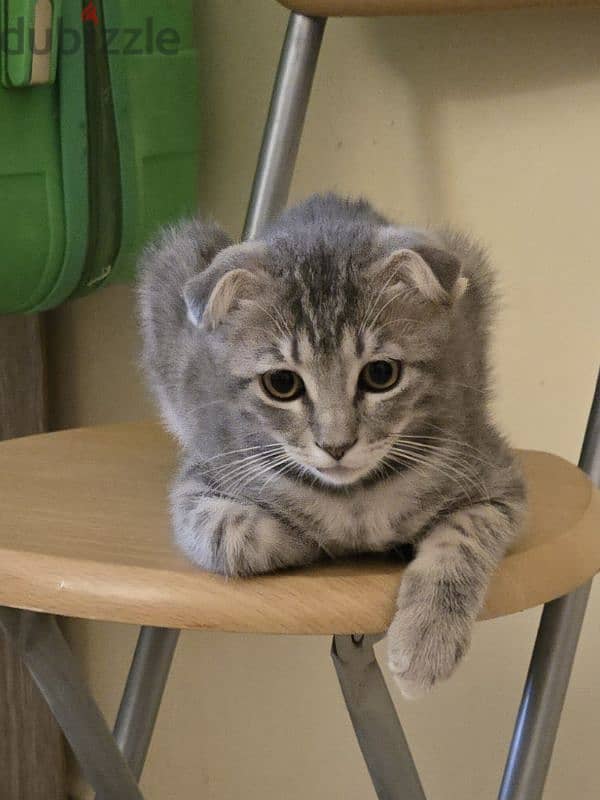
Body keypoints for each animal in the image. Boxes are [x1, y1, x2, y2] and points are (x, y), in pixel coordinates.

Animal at [137, 194, 524, 692]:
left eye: (381, 374)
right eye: (282, 383)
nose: (336, 445)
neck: (354, 499)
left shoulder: (493, 473)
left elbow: (464, 538)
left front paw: (425, 643)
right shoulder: (204, 475)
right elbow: (233, 536)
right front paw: (317, 541)